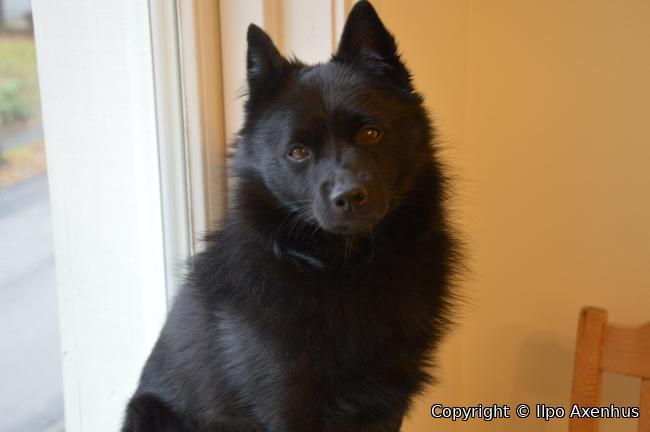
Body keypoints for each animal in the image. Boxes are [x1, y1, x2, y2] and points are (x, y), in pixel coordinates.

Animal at [122, 1, 458, 431]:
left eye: (370, 134)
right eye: (298, 152)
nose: (349, 196)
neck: (344, 271)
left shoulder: (388, 400)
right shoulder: (285, 405)